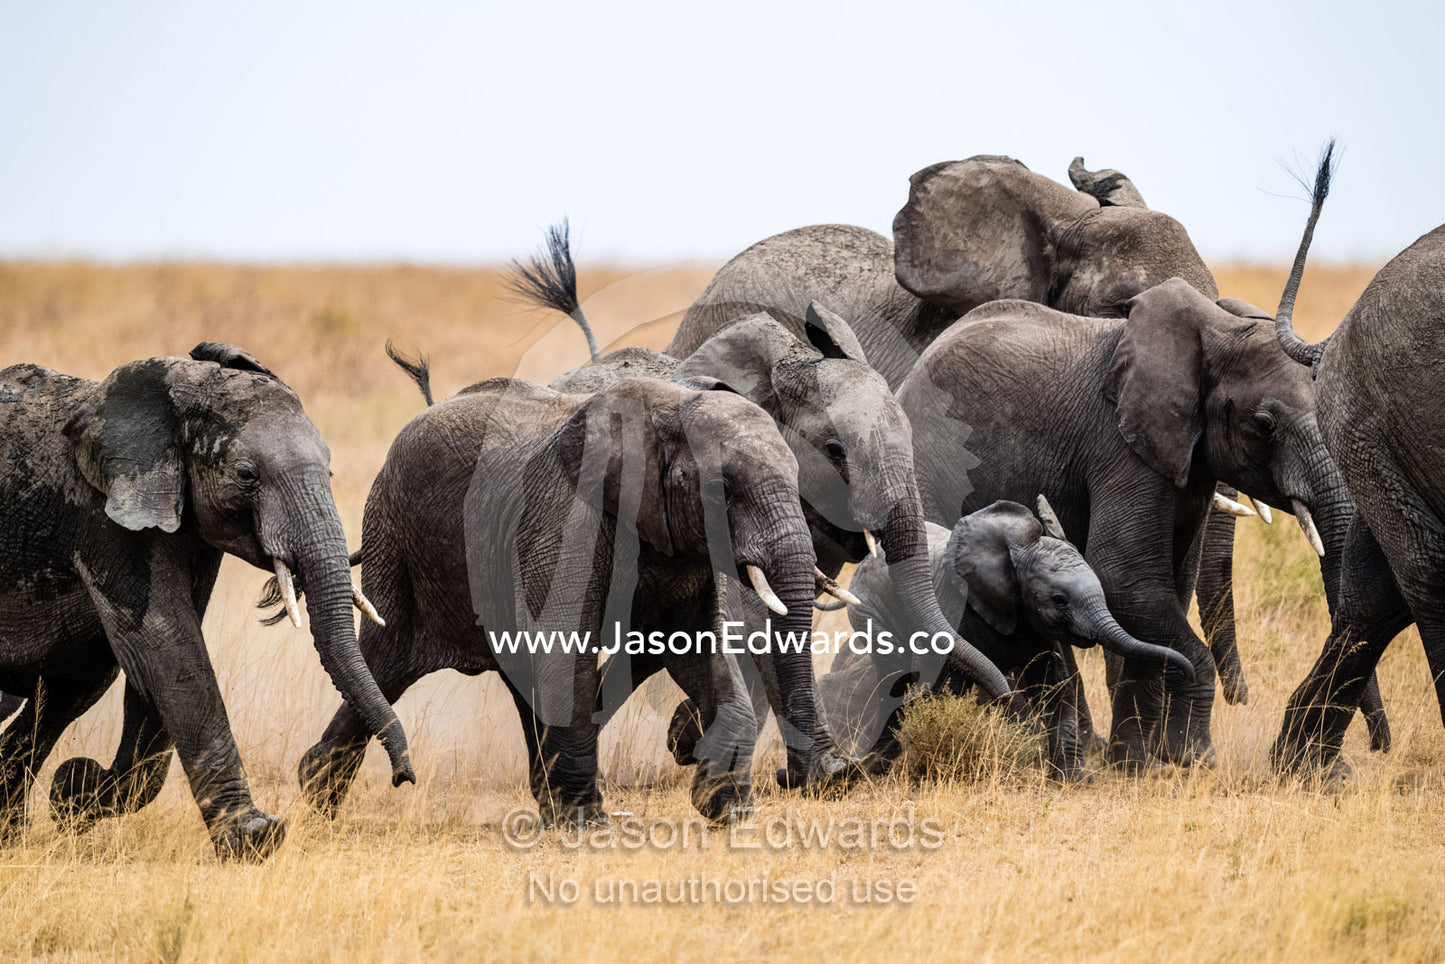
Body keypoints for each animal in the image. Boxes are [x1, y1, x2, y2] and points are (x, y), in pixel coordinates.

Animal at [0, 344, 413, 860]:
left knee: (66, 693)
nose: (404, 777)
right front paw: (255, 839)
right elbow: (168, 652)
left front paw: (75, 793)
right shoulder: (103, 521)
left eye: (330, 469)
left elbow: (154, 673)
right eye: (246, 475)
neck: (176, 395)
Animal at [297, 360, 846, 826]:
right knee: (385, 659)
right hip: (396, 538)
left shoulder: (684, 552)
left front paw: (728, 812)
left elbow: (699, 653)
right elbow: (567, 648)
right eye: (721, 490)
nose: (799, 777)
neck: (666, 412)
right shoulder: (566, 523)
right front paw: (589, 826)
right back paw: (316, 793)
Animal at [897, 277, 1354, 770]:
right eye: (1265, 423)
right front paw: (1193, 758)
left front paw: (1138, 764)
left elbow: (1162, 590)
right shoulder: (1120, 447)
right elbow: (1125, 579)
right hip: (928, 463)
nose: (1346, 766)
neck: (1216, 332)